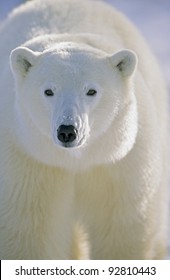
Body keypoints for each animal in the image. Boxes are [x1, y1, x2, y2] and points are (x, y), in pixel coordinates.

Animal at [0, 0, 168, 260]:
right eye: (49, 91)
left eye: (91, 91)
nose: (68, 131)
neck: (77, 160)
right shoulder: (27, 161)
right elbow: (32, 234)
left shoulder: (120, 165)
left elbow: (120, 232)